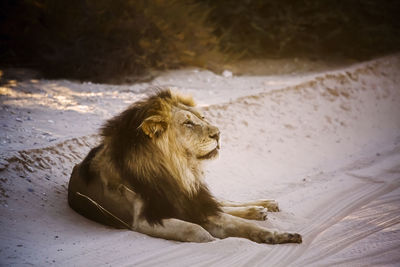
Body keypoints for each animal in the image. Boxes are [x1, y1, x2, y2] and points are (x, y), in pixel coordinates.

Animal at [69, 89, 302, 245]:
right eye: (188, 123)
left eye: (202, 117)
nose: (218, 133)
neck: (177, 170)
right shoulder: (144, 219)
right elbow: (194, 229)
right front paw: (213, 241)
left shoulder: (192, 201)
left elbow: (239, 223)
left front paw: (281, 235)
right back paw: (259, 209)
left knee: (223, 202)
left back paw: (263, 206)